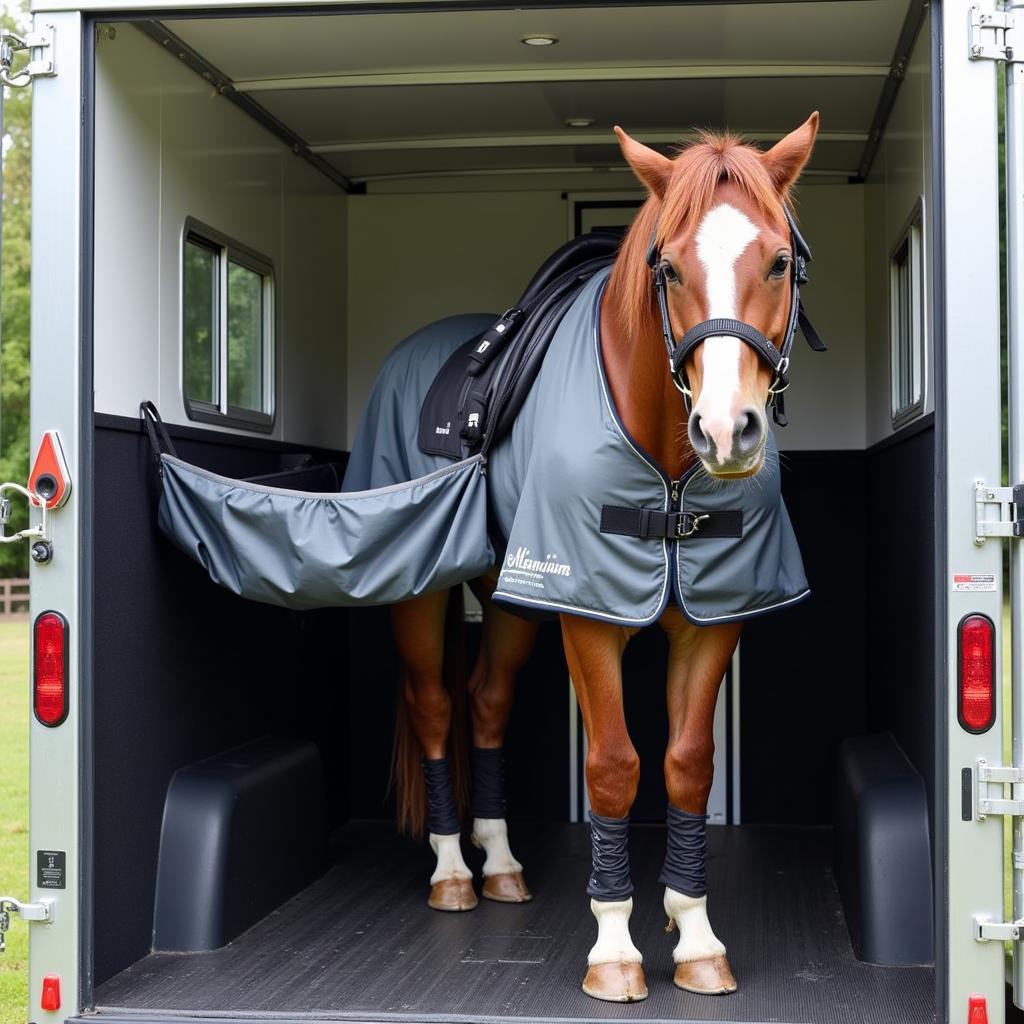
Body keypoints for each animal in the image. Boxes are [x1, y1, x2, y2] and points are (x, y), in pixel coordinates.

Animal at [342, 110, 815, 999]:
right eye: (669, 266)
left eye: (778, 260)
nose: (727, 431)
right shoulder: (588, 619)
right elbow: (615, 768)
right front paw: (615, 946)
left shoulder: (711, 622)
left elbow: (687, 764)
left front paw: (695, 934)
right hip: (426, 592)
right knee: (437, 707)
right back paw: (453, 870)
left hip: (515, 594)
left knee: (488, 699)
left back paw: (500, 863)